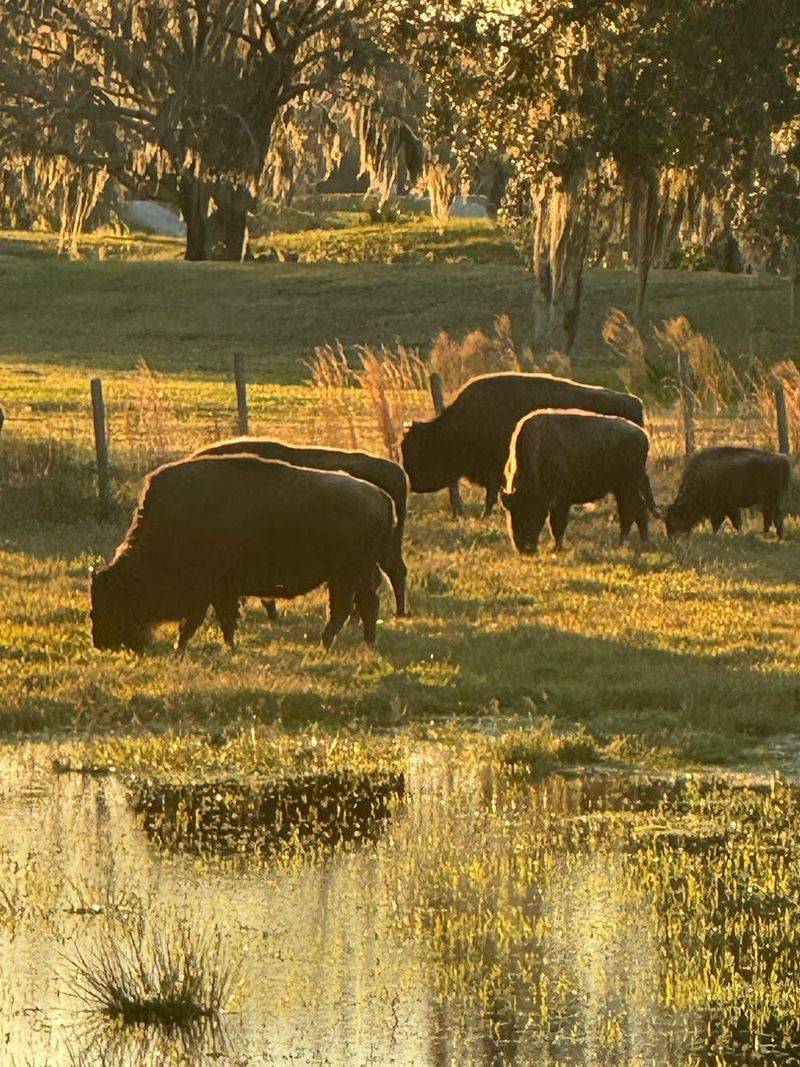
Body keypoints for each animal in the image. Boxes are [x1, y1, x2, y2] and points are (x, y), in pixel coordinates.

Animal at [90, 456, 394, 653]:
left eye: (111, 602)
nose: (101, 643)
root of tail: (381, 496)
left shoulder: (212, 591)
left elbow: (208, 620)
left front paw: (186, 647)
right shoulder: (219, 592)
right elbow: (219, 620)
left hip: (348, 573)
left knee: (347, 607)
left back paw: (329, 642)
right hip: (354, 573)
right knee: (364, 604)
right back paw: (362, 643)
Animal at [401, 372, 644, 516]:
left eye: (419, 449)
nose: (413, 483)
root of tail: (635, 402)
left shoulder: (495, 470)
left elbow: (491, 495)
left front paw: (486, 514)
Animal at [501, 409, 656, 552]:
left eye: (533, 513)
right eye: (512, 513)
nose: (525, 549)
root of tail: (643, 435)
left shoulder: (561, 501)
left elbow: (557, 525)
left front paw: (556, 548)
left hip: (627, 485)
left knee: (633, 510)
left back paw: (633, 544)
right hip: (622, 488)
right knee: (634, 510)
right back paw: (629, 544)